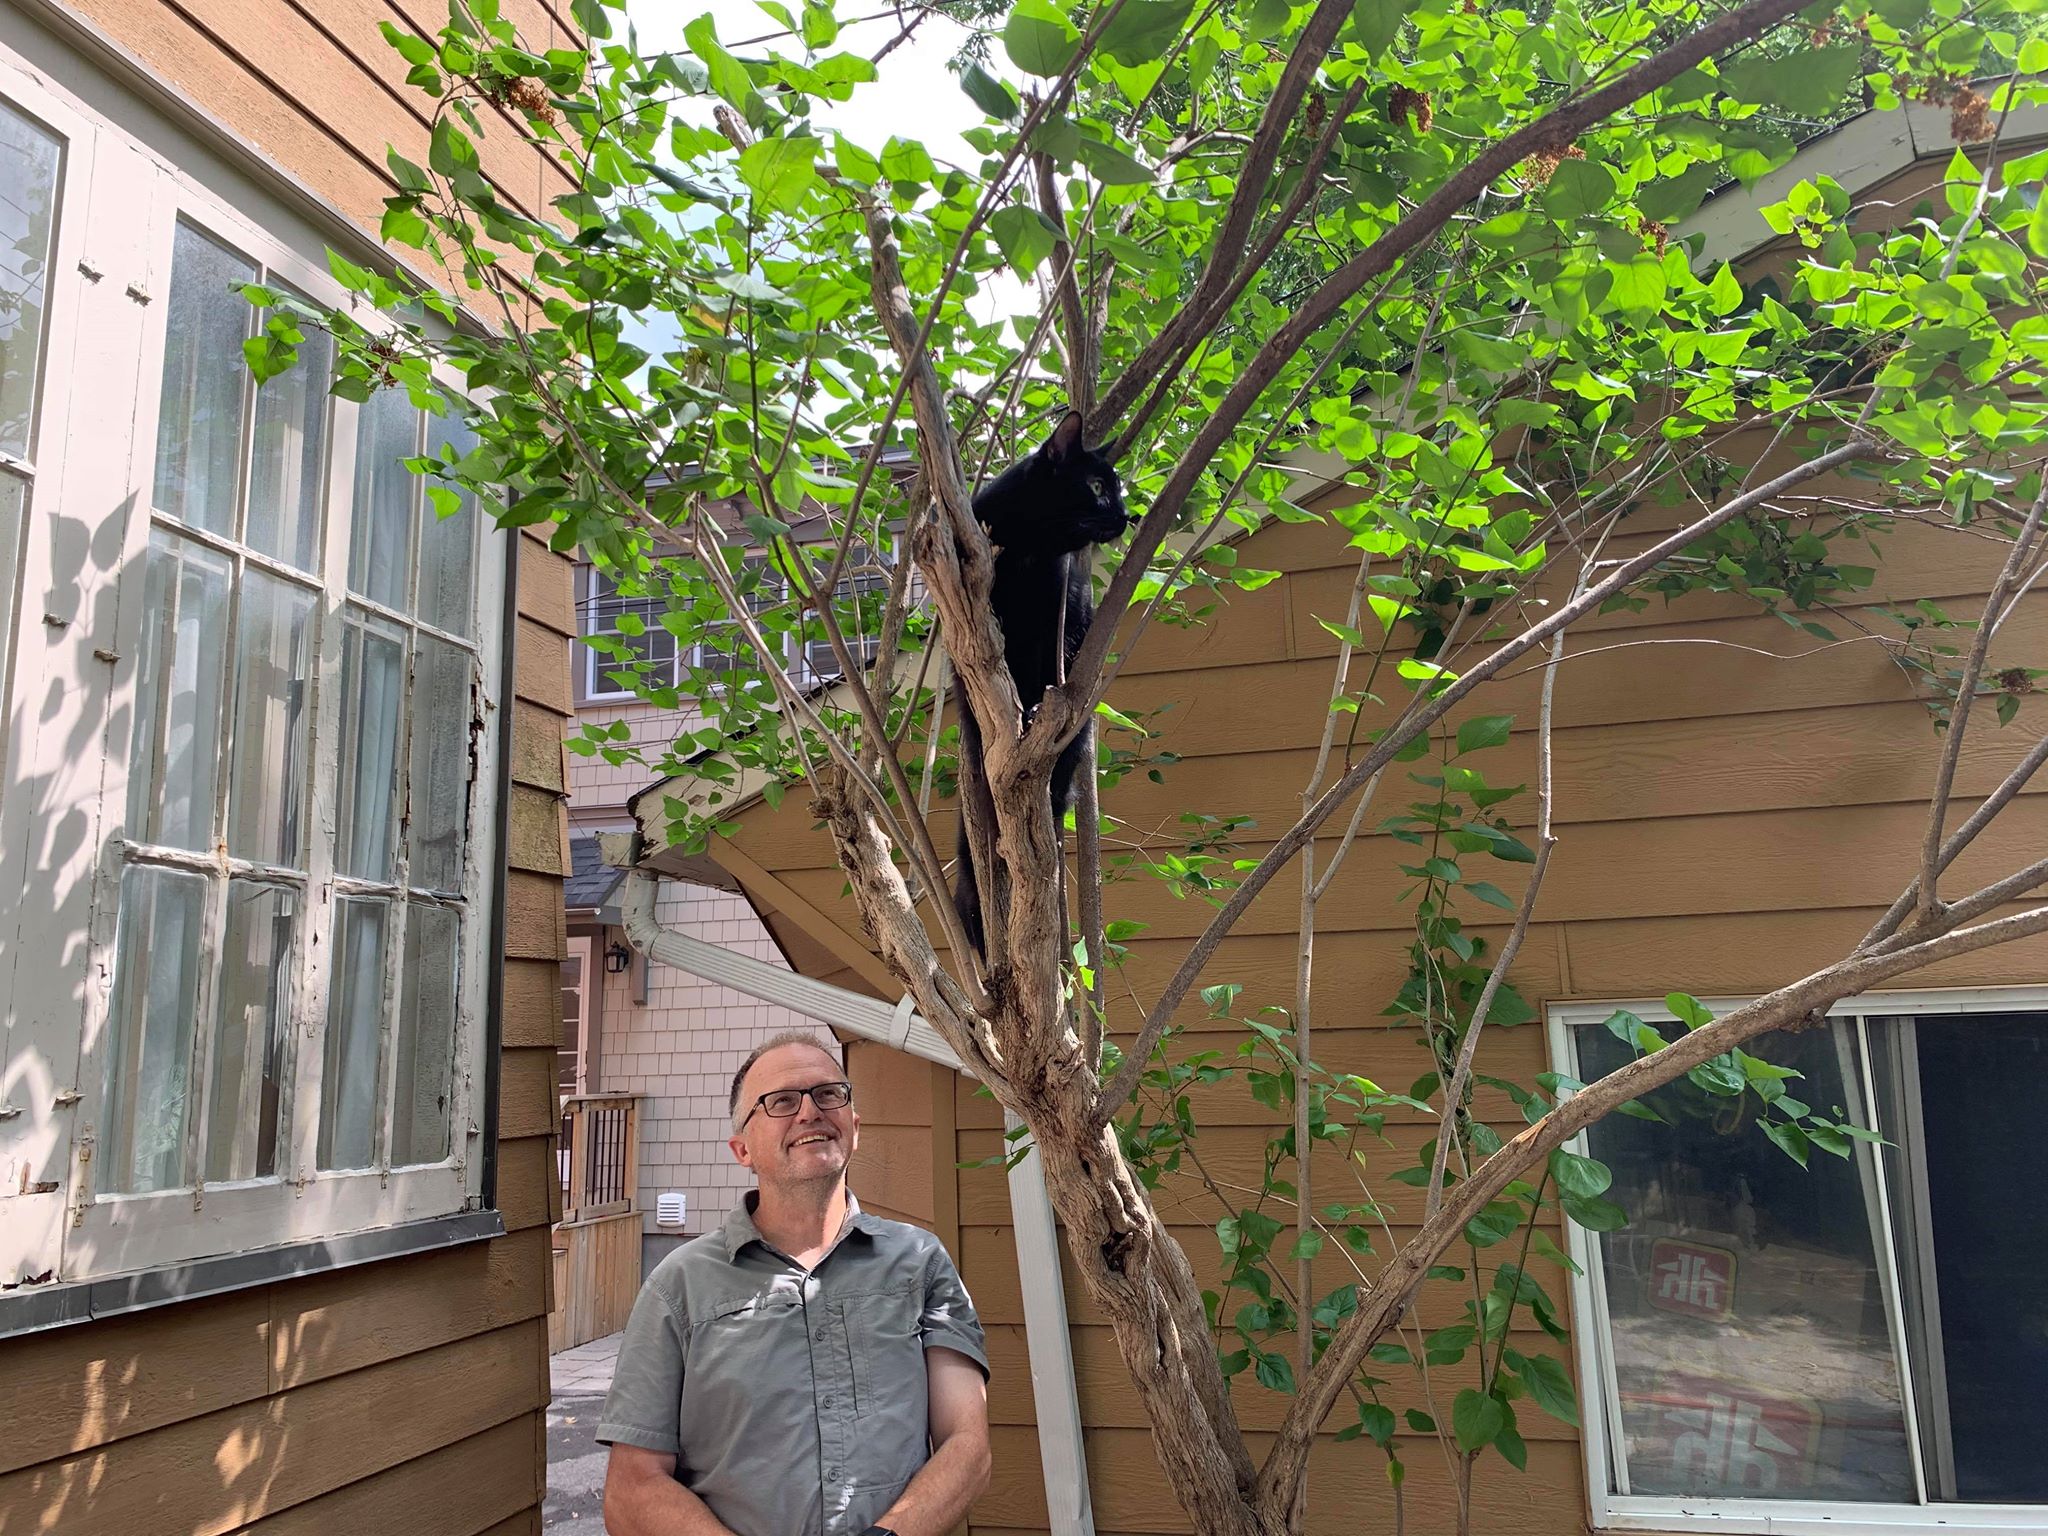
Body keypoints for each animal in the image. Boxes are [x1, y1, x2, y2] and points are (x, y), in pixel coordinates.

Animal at [952, 410, 1133, 958]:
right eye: (1097, 486)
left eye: (1118, 488)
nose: (1128, 515)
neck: (1033, 551)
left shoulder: (1060, 625)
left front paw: (1033, 711)